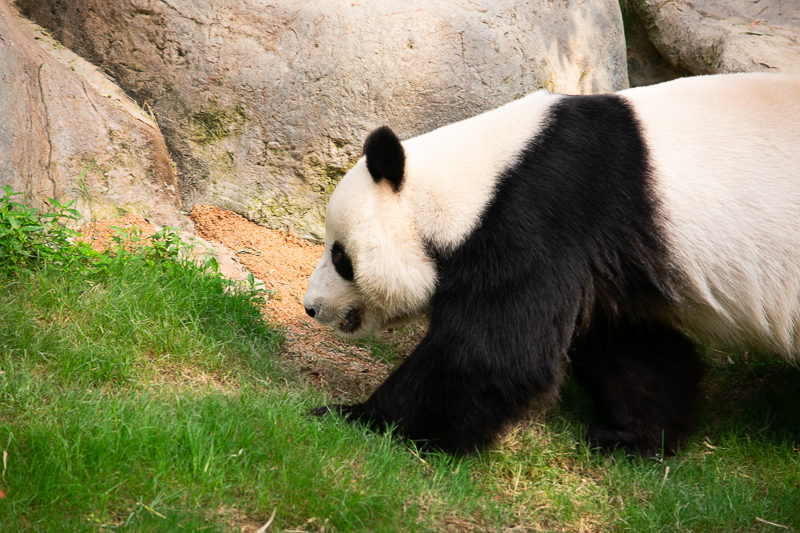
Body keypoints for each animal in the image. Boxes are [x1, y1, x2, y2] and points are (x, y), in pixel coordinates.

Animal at [302, 72, 800, 456]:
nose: (311, 306)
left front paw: (354, 417)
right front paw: (633, 435)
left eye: (340, 256)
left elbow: (497, 355)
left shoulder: (541, 214)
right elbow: (625, 342)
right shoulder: (600, 254)